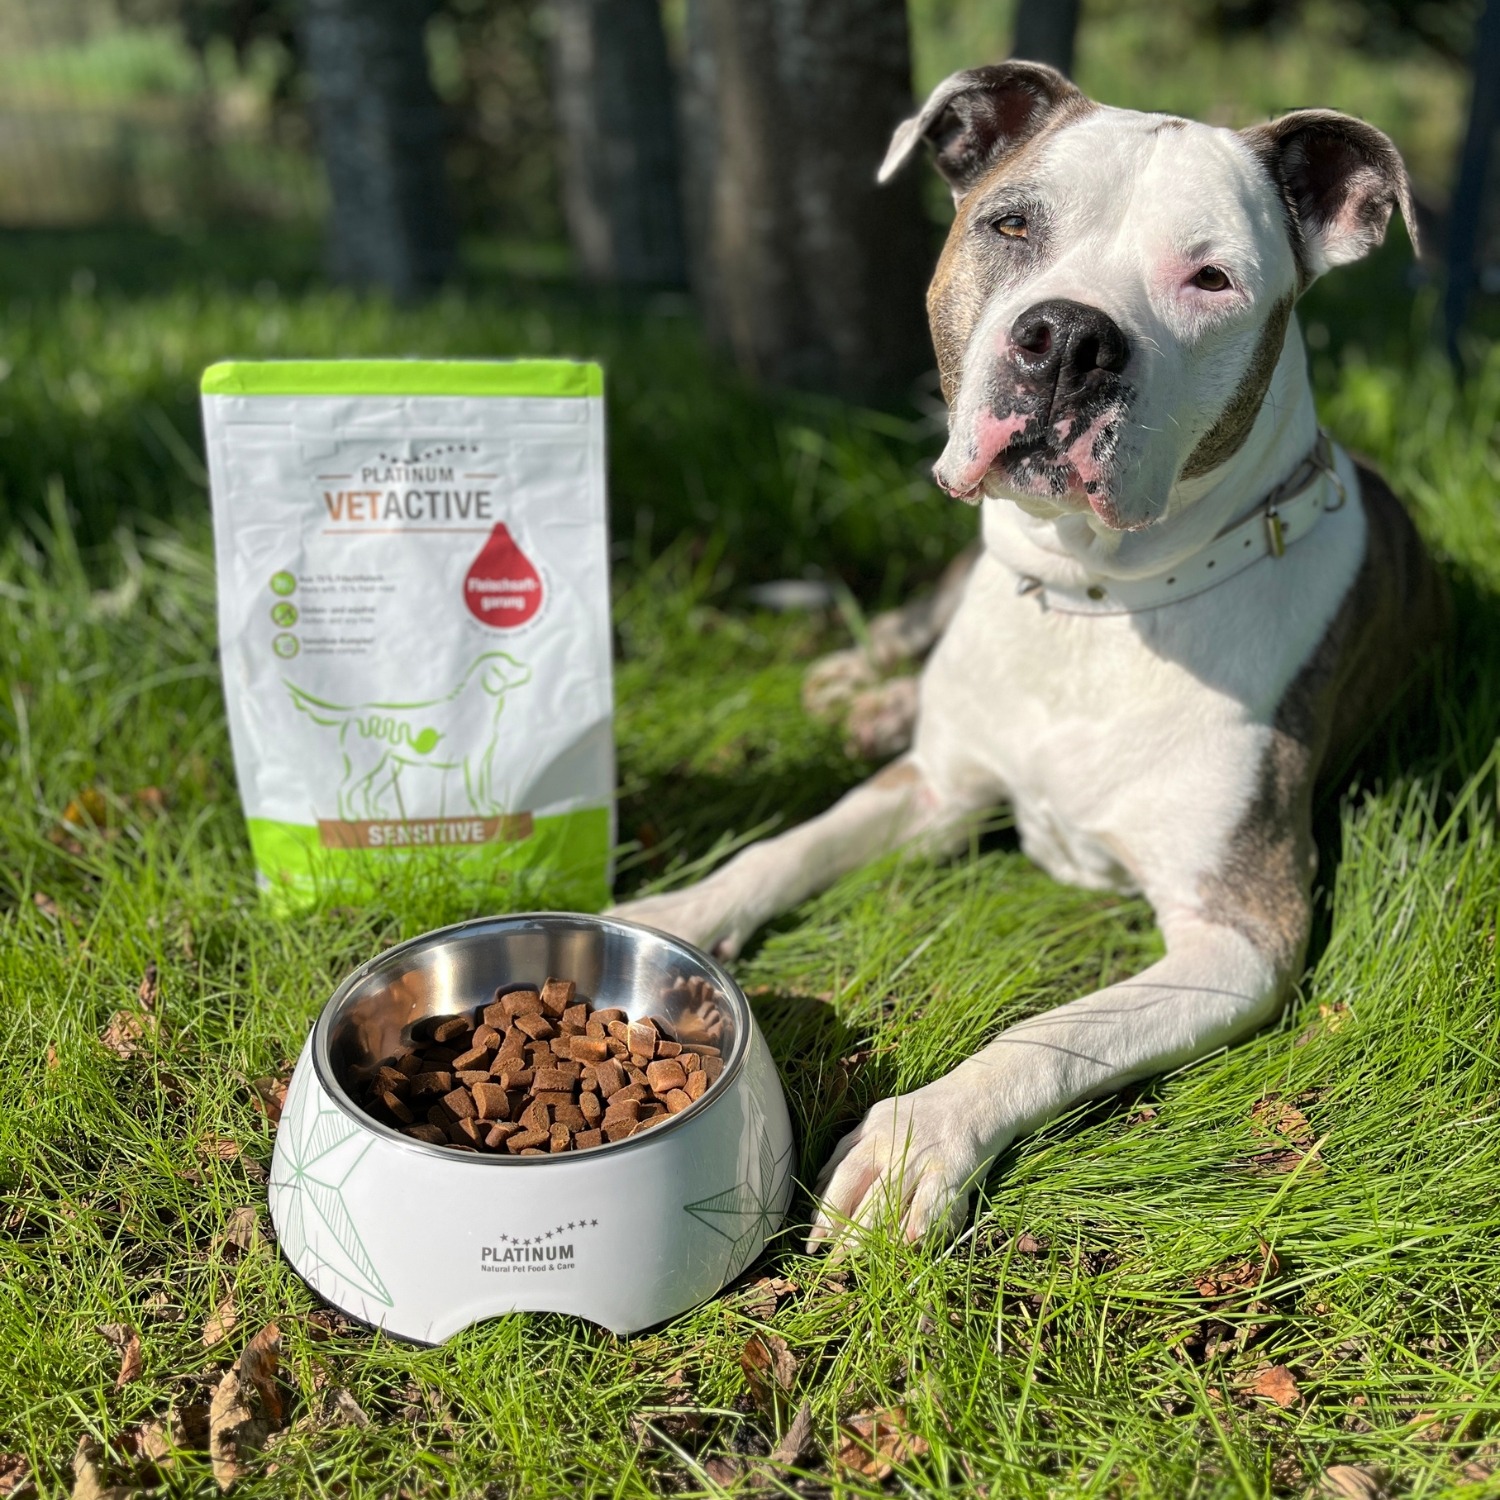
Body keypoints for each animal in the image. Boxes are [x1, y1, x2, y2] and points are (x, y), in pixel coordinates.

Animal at [610, 62, 1447, 1252]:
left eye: (1212, 278)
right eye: (1011, 225)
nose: (1068, 339)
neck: (1092, 600)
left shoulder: (1242, 936)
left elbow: (1056, 1030)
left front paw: (920, 1138)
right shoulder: (934, 788)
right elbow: (782, 848)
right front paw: (668, 918)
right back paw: (856, 689)